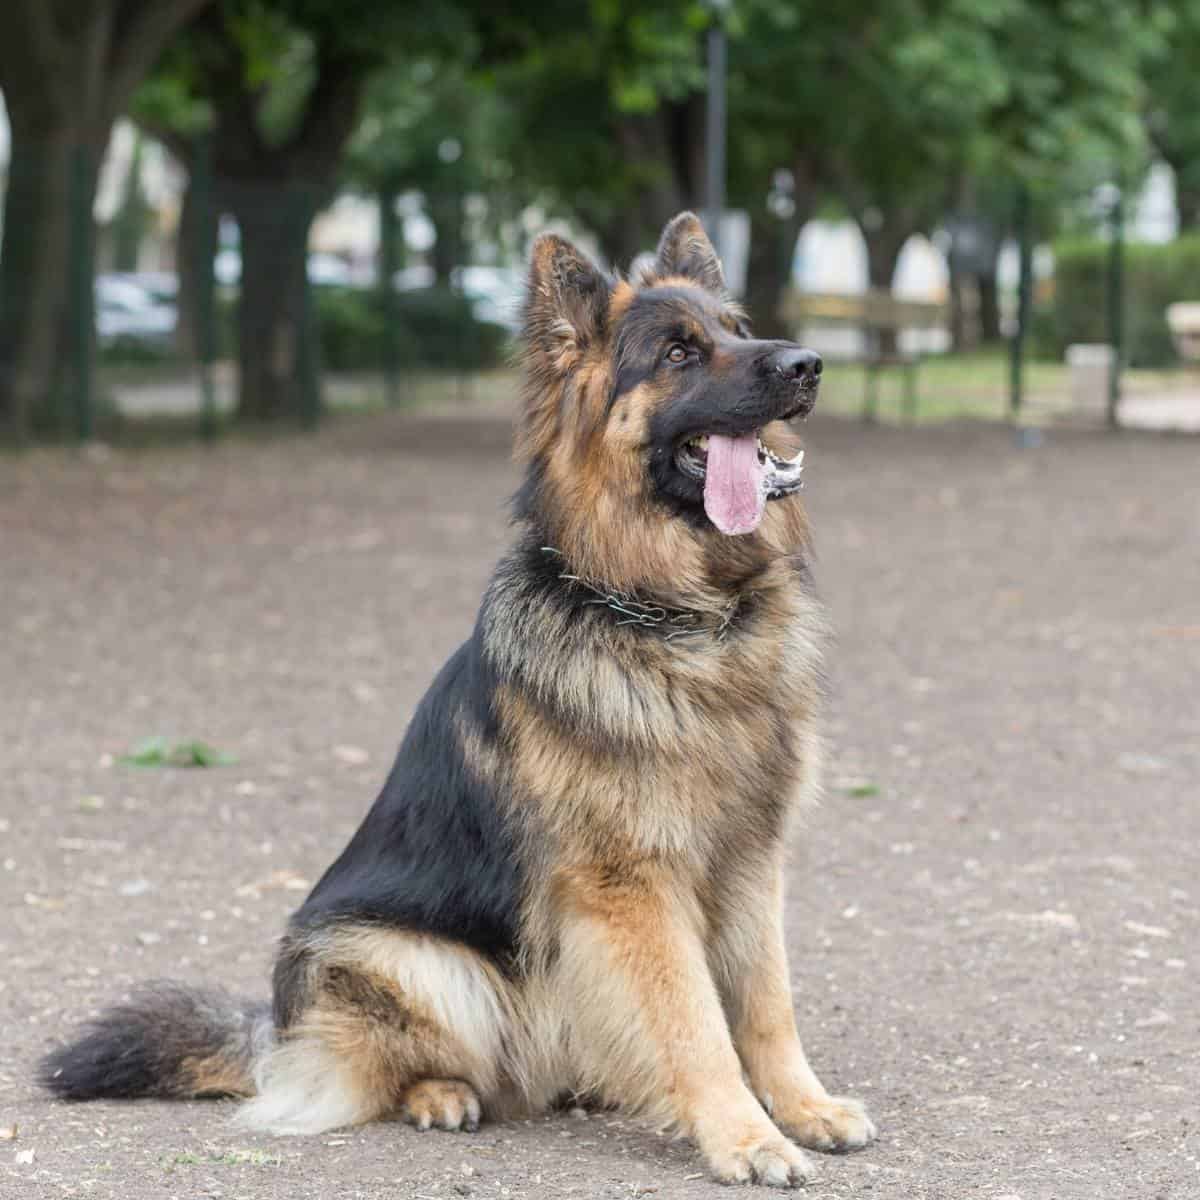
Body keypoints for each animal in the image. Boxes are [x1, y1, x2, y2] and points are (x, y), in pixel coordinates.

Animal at [42, 213, 878, 1180]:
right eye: (678, 351)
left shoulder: (750, 861)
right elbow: (695, 1021)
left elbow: (767, 1003)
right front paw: (744, 1135)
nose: (808, 364)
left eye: (738, 329)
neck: (683, 620)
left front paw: (803, 1107)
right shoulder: (631, 885)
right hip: (418, 961)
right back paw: (440, 1094)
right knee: (374, 1066)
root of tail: (276, 1029)